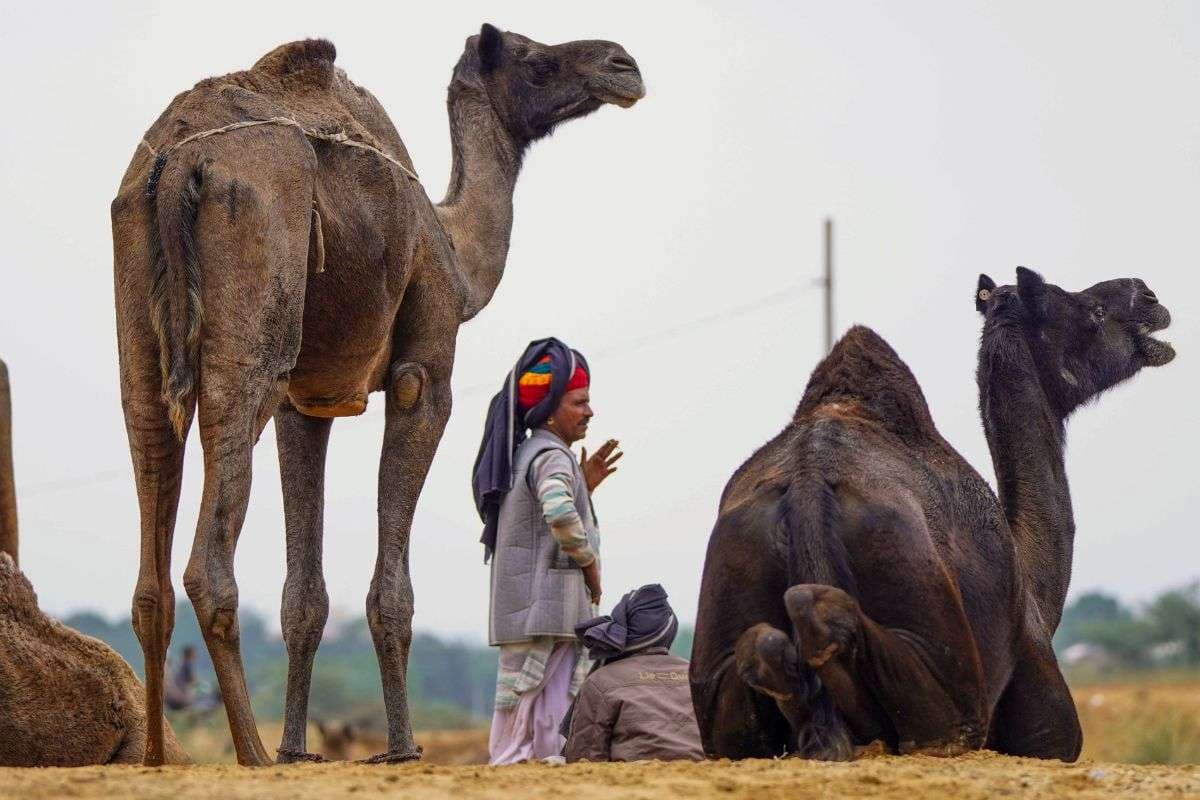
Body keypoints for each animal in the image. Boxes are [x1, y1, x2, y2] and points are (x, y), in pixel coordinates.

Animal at [111, 26, 643, 766]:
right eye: (536, 59)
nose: (623, 65)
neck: (453, 245)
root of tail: (184, 159)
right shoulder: (426, 371)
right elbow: (394, 589)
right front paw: (401, 747)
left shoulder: (305, 400)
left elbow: (304, 596)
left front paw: (299, 749)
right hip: (256, 276)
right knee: (212, 528)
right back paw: (248, 753)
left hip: (137, 284)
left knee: (149, 452)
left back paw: (161, 756)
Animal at [690, 267, 1174, 761]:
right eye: (1091, 313)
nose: (1148, 295)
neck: (1032, 579)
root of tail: (808, 485)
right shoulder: (1046, 723)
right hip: (940, 662)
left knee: (763, 646)